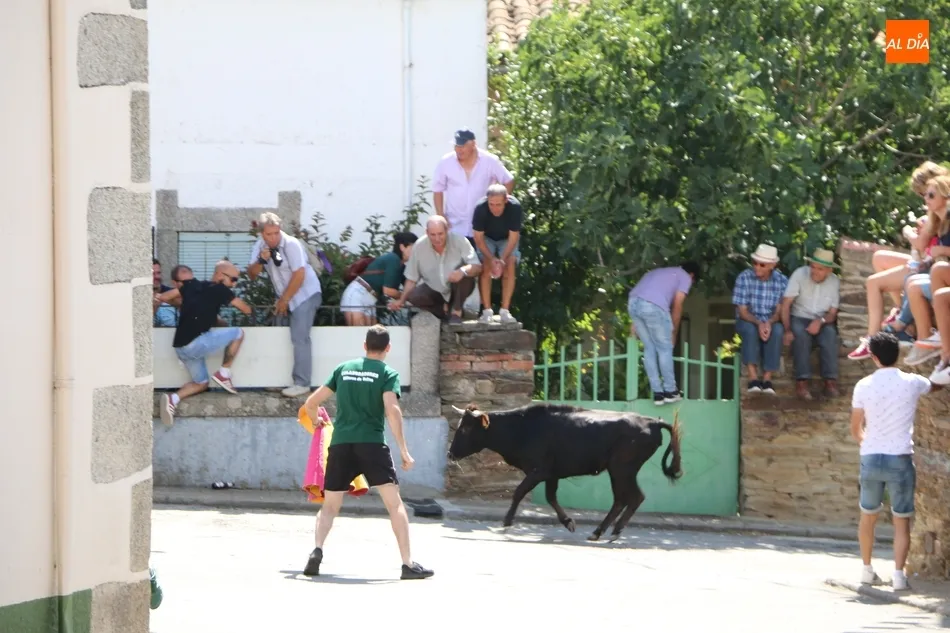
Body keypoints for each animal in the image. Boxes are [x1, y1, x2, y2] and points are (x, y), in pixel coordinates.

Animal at [447, 401, 683, 542]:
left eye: (466, 428)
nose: (450, 453)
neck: (521, 428)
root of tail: (652, 422)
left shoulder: (538, 471)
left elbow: (519, 491)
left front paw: (506, 522)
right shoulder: (552, 474)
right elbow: (551, 498)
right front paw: (568, 522)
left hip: (622, 469)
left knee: (633, 497)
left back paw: (612, 531)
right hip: (620, 471)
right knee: (623, 499)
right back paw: (600, 531)